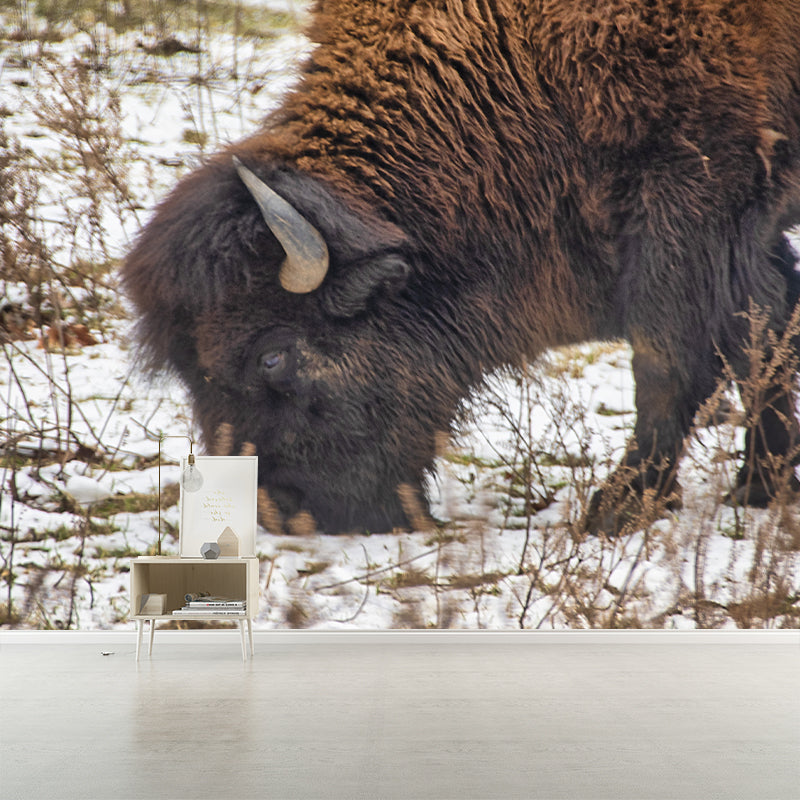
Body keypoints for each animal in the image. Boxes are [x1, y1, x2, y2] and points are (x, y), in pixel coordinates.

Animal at [124, 0, 800, 535]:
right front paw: (762, 486)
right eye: (189, 373)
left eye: (272, 355)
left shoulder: (693, 195)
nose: (279, 513)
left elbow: (671, 359)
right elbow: (769, 332)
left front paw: (616, 509)